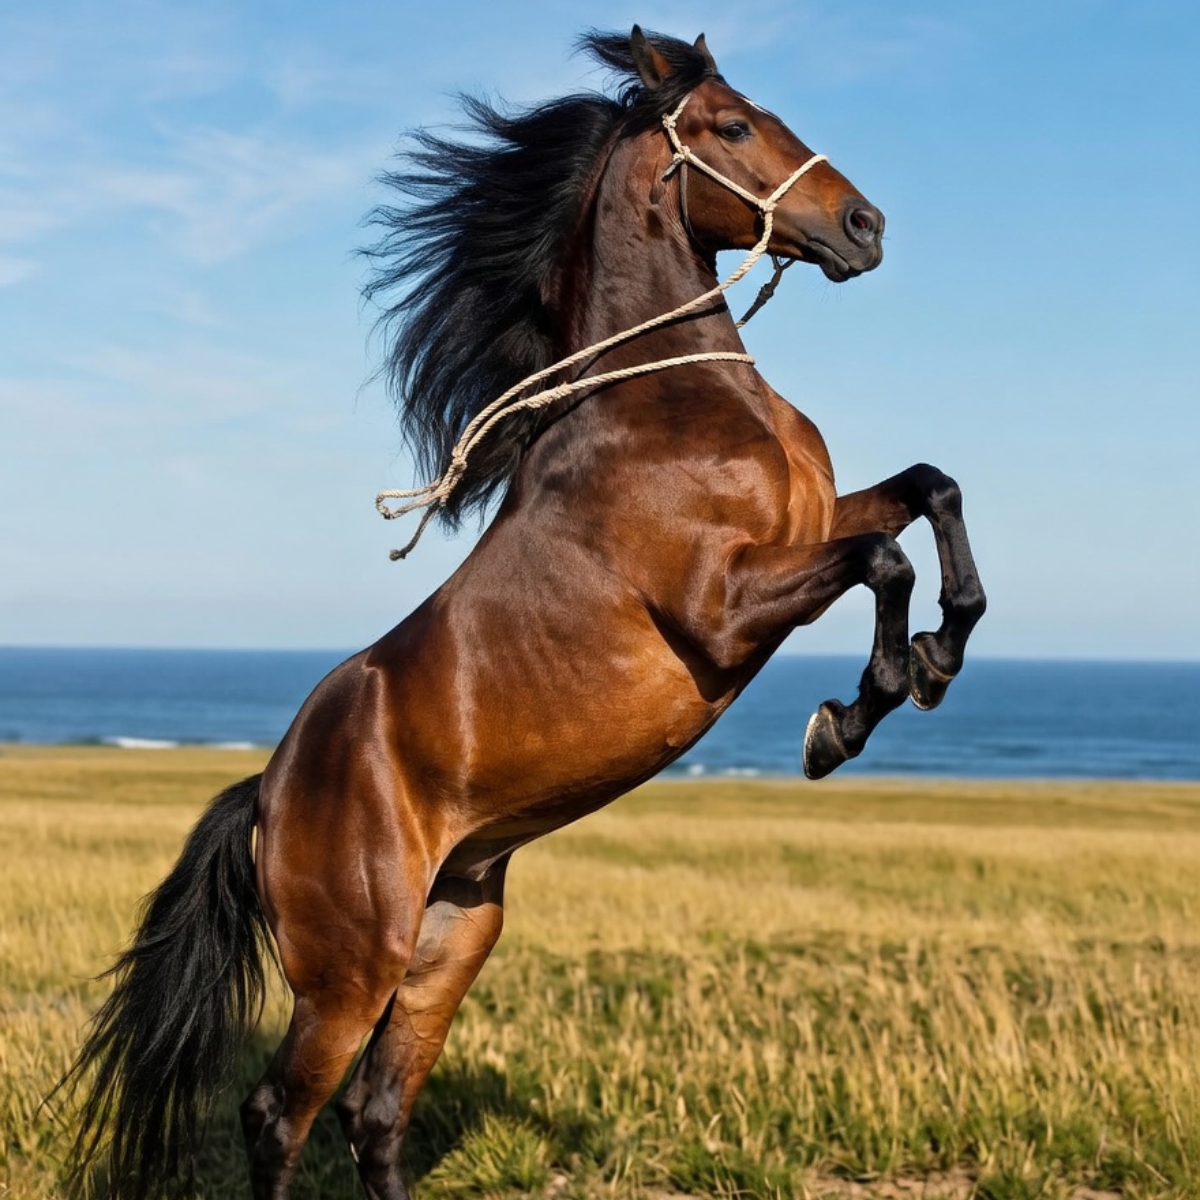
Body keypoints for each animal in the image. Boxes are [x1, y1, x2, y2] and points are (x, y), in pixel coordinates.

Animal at [61, 26, 985, 1200]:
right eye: (732, 126)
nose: (865, 226)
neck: (666, 403)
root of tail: (265, 793)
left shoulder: (810, 526)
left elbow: (931, 491)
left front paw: (940, 654)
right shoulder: (727, 606)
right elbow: (883, 558)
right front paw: (857, 712)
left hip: (451, 936)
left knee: (374, 1114)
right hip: (351, 967)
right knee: (279, 1114)